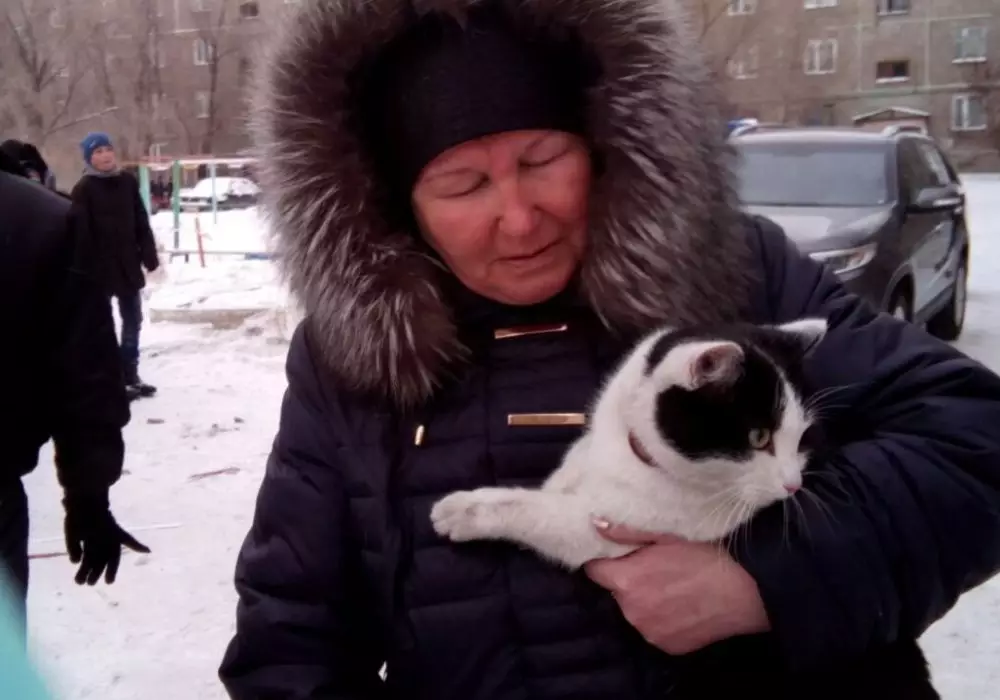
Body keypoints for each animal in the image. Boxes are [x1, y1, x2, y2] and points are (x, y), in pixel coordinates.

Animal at [430, 317, 940, 700]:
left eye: (802, 438)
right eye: (758, 437)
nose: (792, 485)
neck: (633, 456)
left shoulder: (616, 531)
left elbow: (543, 512)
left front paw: (463, 511)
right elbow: (563, 481)